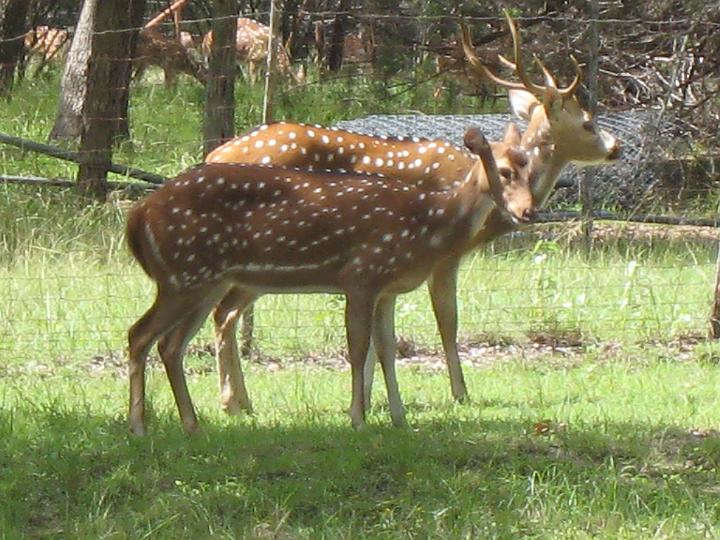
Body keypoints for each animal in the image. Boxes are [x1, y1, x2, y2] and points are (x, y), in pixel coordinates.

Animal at [126, 126, 536, 434]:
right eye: (503, 171)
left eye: (528, 165)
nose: (528, 211)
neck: (428, 223)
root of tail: (138, 214)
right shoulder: (361, 275)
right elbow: (358, 348)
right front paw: (358, 418)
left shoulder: (387, 289)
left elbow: (387, 348)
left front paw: (398, 417)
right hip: (184, 275)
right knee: (140, 334)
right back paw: (140, 426)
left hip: (202, 281)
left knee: (170, 344)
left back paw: (192, 424)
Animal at [200, 11, 620, 414]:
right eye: (588, 122)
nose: (616, 146)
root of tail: (215, 153)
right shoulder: (444, 257)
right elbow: (447, 321)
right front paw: (459, 393)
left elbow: (380, 334)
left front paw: (370, 398)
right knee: (225, 313)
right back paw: (233, 402)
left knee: (226, 313)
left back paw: (240, 402)